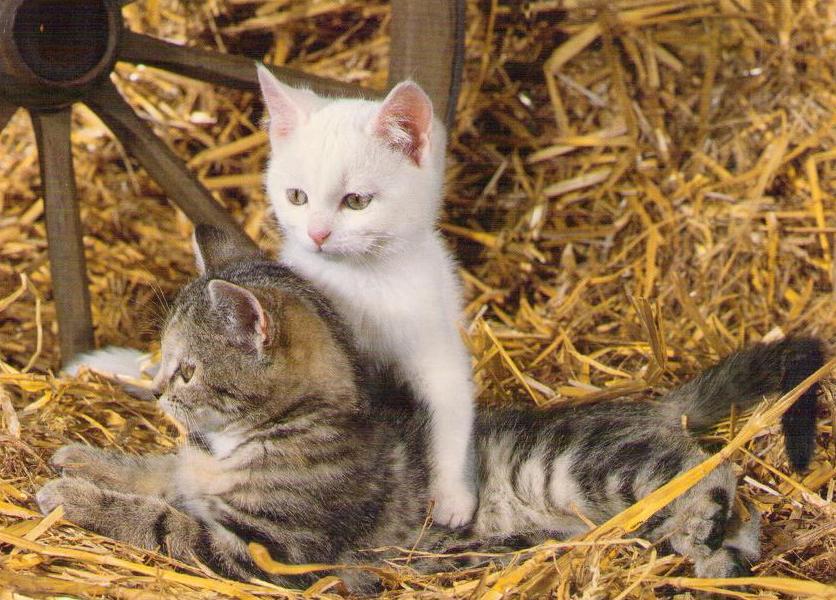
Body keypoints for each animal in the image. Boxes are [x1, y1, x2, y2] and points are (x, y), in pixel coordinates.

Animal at [39, 225, 824, 592]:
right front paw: (80, 460)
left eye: (187, 371)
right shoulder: (195, 478)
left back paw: (707, 538)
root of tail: (652, 407)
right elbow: (156, 473)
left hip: (595, 469)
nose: (156, 392)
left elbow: (164, 521)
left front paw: (77, 496)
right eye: (162, 364)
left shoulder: (273, 550)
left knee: (714, 479)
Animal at [255, 64, 476, 524]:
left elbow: (452, 412)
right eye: (297, 196)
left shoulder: (439, 347)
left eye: (356, 201)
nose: (317, 234)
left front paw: (450, 495)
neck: (361, 282)